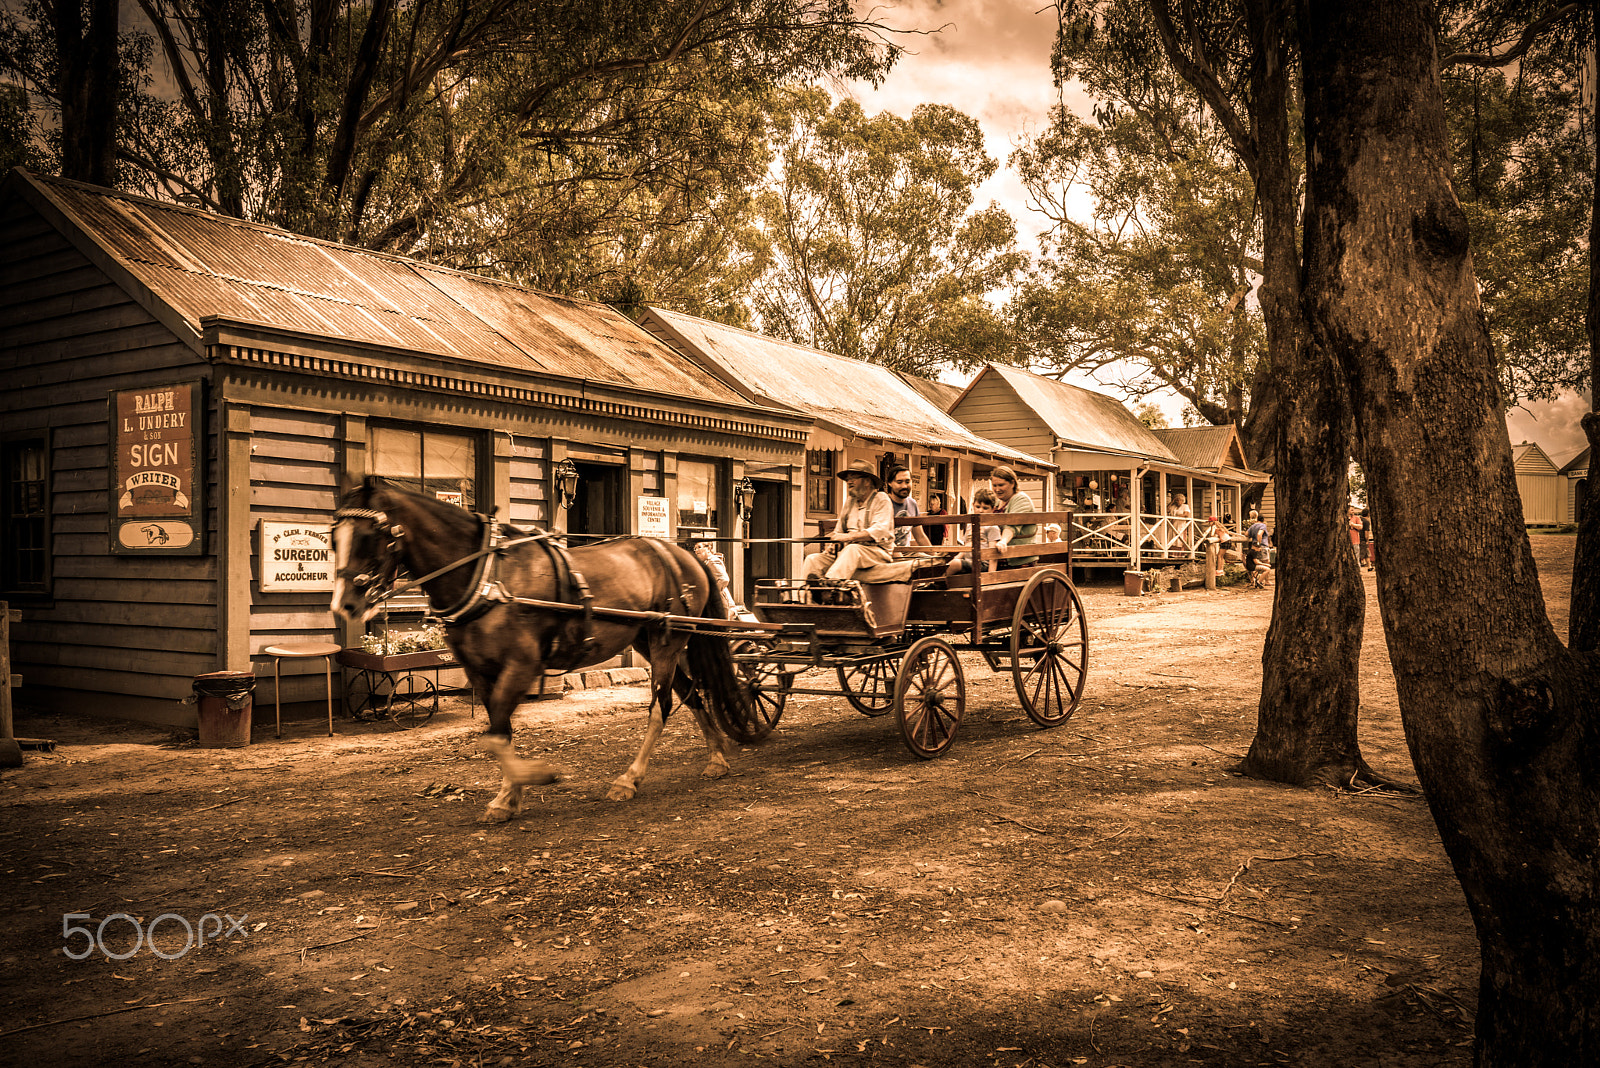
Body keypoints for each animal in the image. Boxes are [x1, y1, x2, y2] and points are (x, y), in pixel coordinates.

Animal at [331, 476, 755, 824]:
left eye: (369, 536)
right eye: (333, 537)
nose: (344, 605)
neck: (487, 577)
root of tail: (684, 554)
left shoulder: (521, 664)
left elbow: (496, 735)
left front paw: (530, 779)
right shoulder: (478, 670)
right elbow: (499, 730)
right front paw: (510, 795)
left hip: (667, 640)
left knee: (661, 705)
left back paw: (629, 778)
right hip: (648, 640)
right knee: (691, 694)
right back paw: (716, 757)